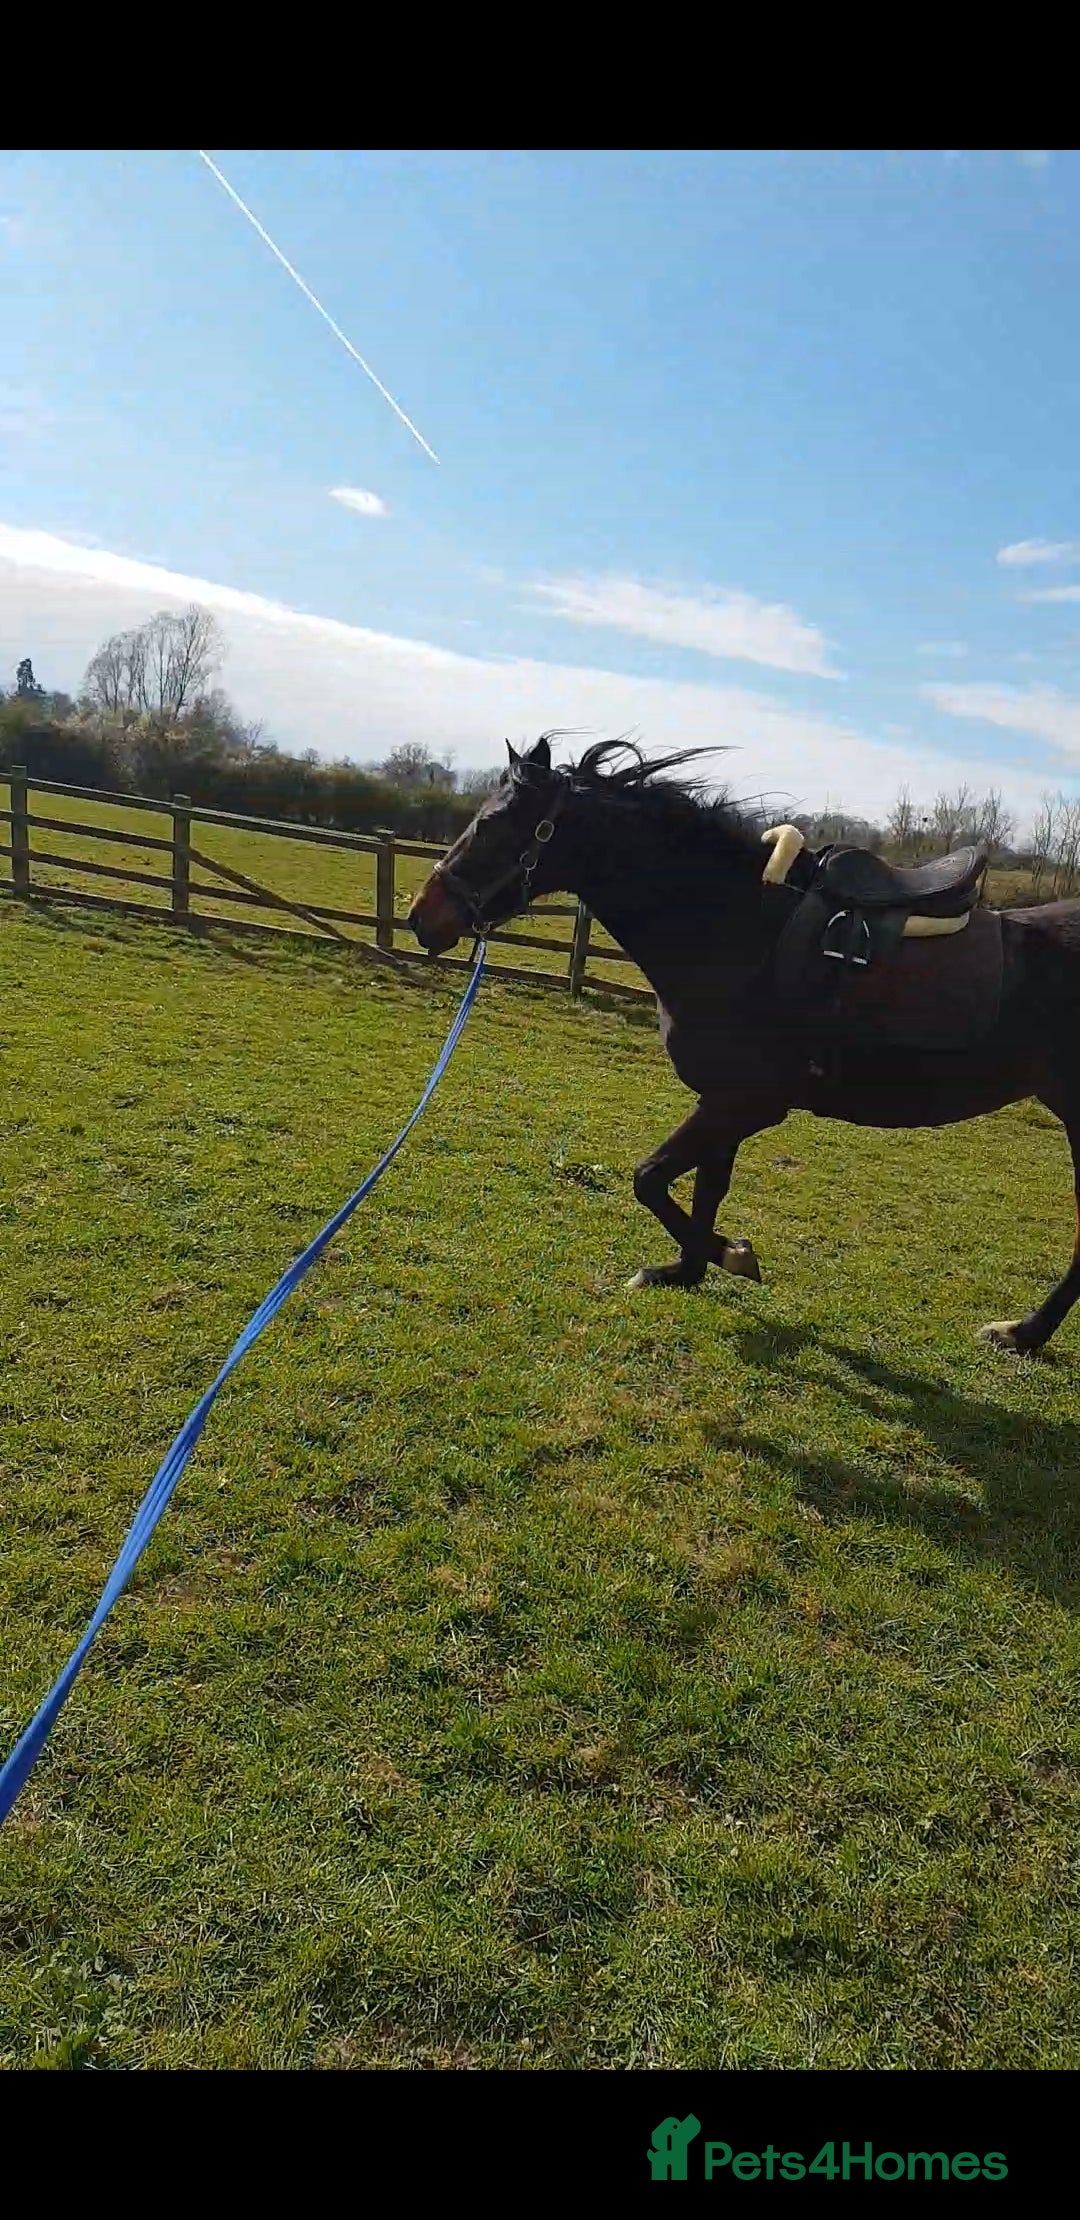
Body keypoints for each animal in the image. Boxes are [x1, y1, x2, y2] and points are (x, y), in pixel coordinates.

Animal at [408, 736, 1080, 1355]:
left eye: (493, 824)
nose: (421, 918)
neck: (736, 926)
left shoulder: (747, 1103)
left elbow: (649, 1178)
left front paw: (730, 1255)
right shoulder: (722, 1101)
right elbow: (704, 1185)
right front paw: (686, 1270)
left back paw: (1023, 1332)